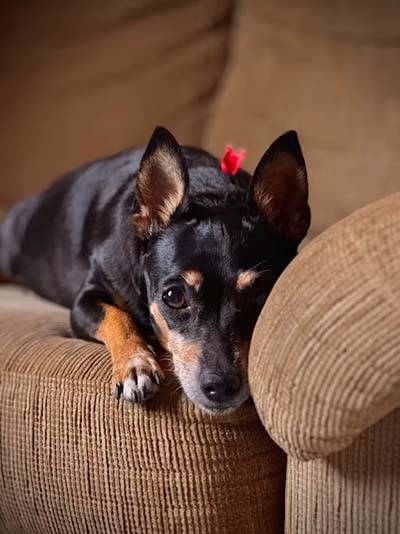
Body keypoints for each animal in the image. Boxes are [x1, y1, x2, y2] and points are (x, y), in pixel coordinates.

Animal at [0, 127, 310, 416]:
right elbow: (118, 317)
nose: (221, 387)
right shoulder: (85, 300)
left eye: (262, 297)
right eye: (173, 297)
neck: (211, 194)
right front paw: (135, 364)